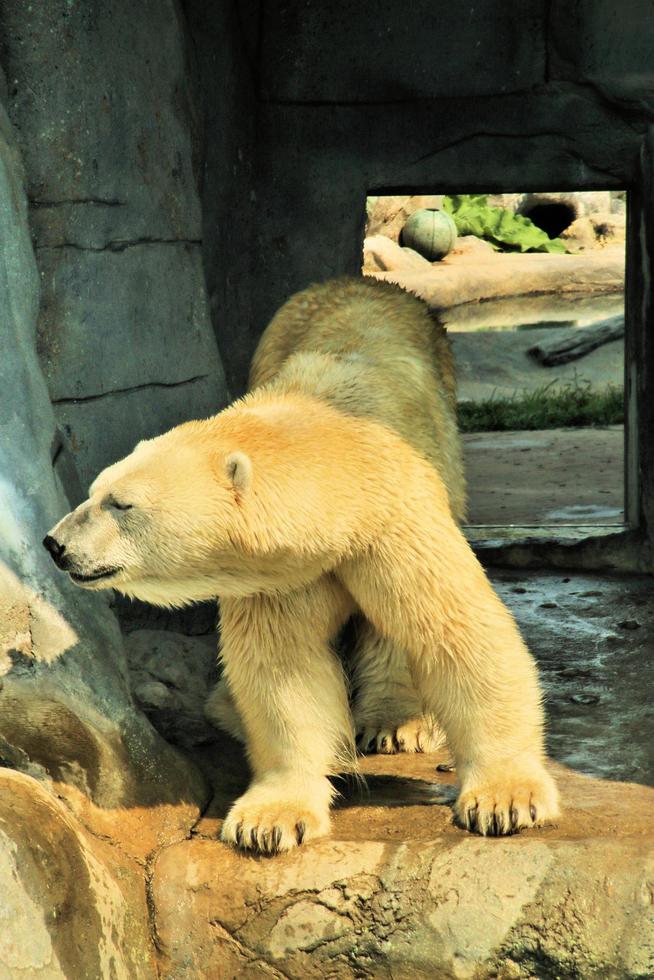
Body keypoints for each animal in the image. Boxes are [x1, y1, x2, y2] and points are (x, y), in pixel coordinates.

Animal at [43, 386, 560, 852]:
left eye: (121, 503)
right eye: (92, 493)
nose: (55, 543)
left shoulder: (395, 522)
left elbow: (455, 629)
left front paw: (506, 799)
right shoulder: (278, 578)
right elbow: (284, 673)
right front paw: (269, 822)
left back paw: (397, 722)